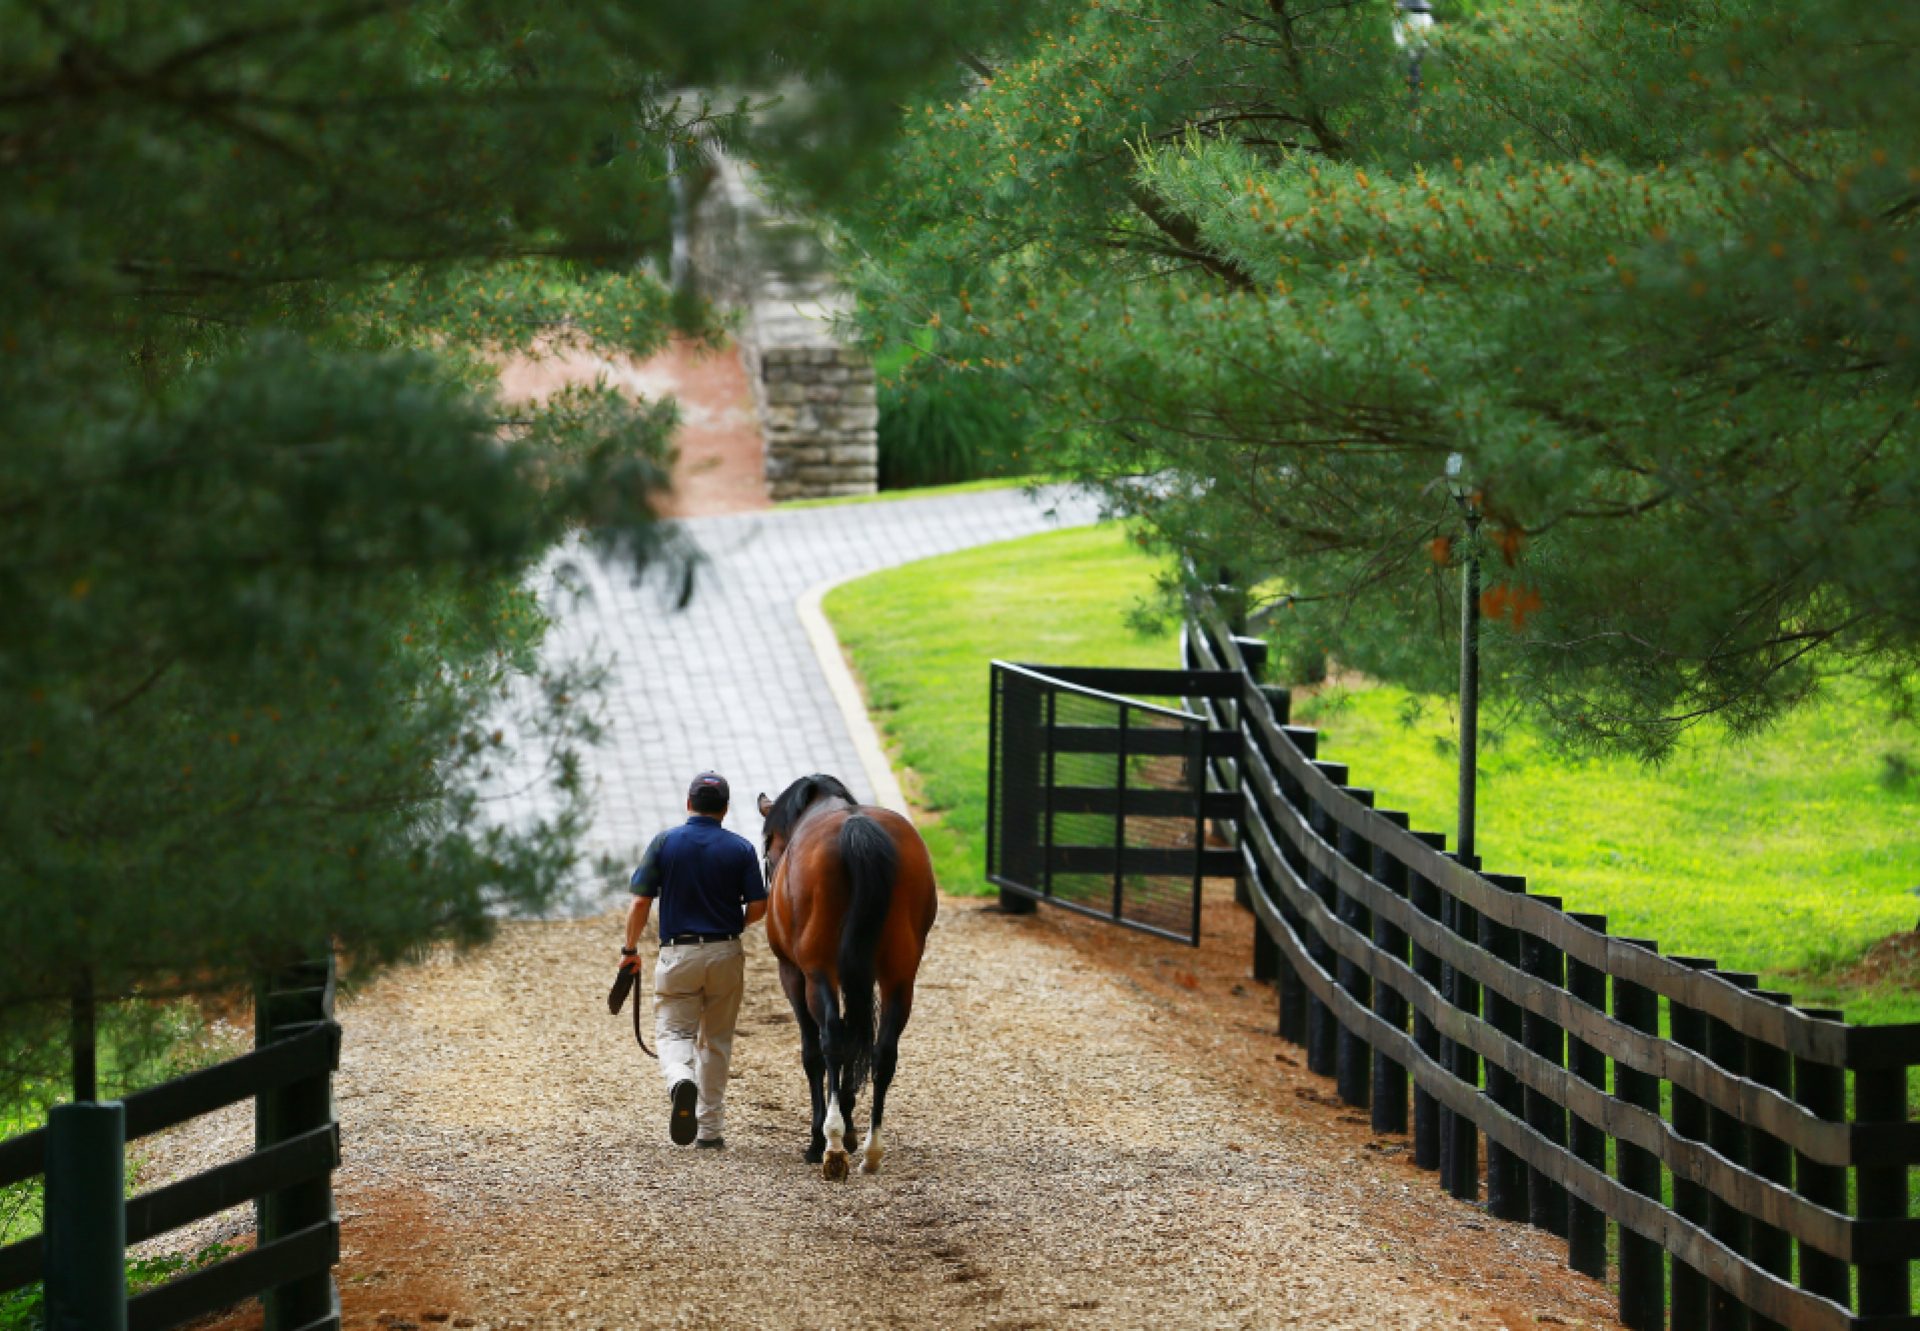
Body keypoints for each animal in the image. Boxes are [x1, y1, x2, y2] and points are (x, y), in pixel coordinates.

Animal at [756, 772, 936, 1175]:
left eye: (767, 849)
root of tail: (857, 828)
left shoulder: (794, 973)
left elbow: (813, 1051)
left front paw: (820, 1135)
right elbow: (860, 1040)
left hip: (817, 971)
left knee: (832, 1040)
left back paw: (832, 1144)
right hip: (899, 976)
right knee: (883, 1051)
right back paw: (871, 1150)